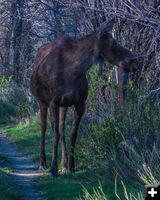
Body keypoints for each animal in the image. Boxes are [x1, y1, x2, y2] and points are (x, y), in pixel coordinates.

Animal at [30, 18, 138, 175]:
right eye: (113, 43)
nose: (134, 61)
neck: (73, 72)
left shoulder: (80, 103)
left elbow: (72, 134)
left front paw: (71, 165)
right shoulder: (53, 102)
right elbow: (54, 134)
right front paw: (53, 168)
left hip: (63, 105)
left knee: (62, 129)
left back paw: (64, 163)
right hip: (42, 101)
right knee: (44, 128)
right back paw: (42, 162)